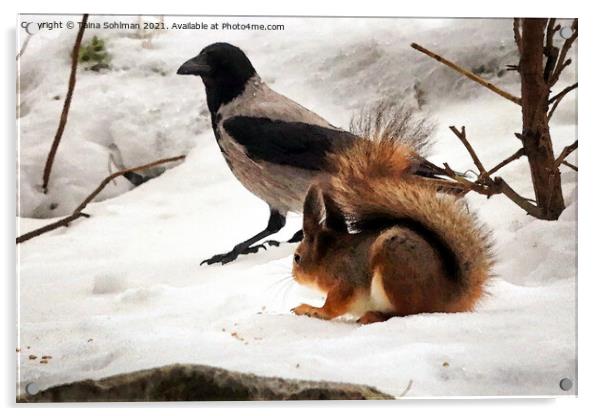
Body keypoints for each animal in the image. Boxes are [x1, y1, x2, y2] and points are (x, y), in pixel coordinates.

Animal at [290, 137, 492, 324]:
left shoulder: (346, 280)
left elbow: (334, 306)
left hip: (393, 266)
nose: (294, 277)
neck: (328, 257)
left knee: (406, 312)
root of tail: (447, 298)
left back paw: (373, 316)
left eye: (297, 257)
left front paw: (312, 310)